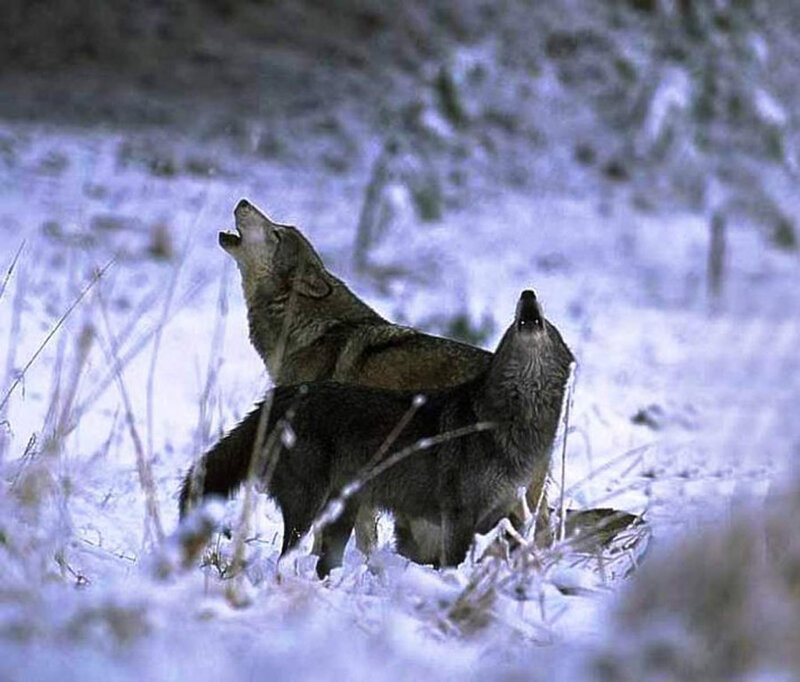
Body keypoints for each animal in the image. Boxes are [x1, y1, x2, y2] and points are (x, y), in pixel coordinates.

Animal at [180, 290, 574, 577]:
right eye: (512, 323)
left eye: (550, 325)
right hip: (311, 507)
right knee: (289, 556)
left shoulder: (509, 514)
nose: (528, 293)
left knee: (326, 563)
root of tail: (279, 398)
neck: (509, 423)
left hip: (343, 510)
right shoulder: (457, 516)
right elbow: (451, 565)